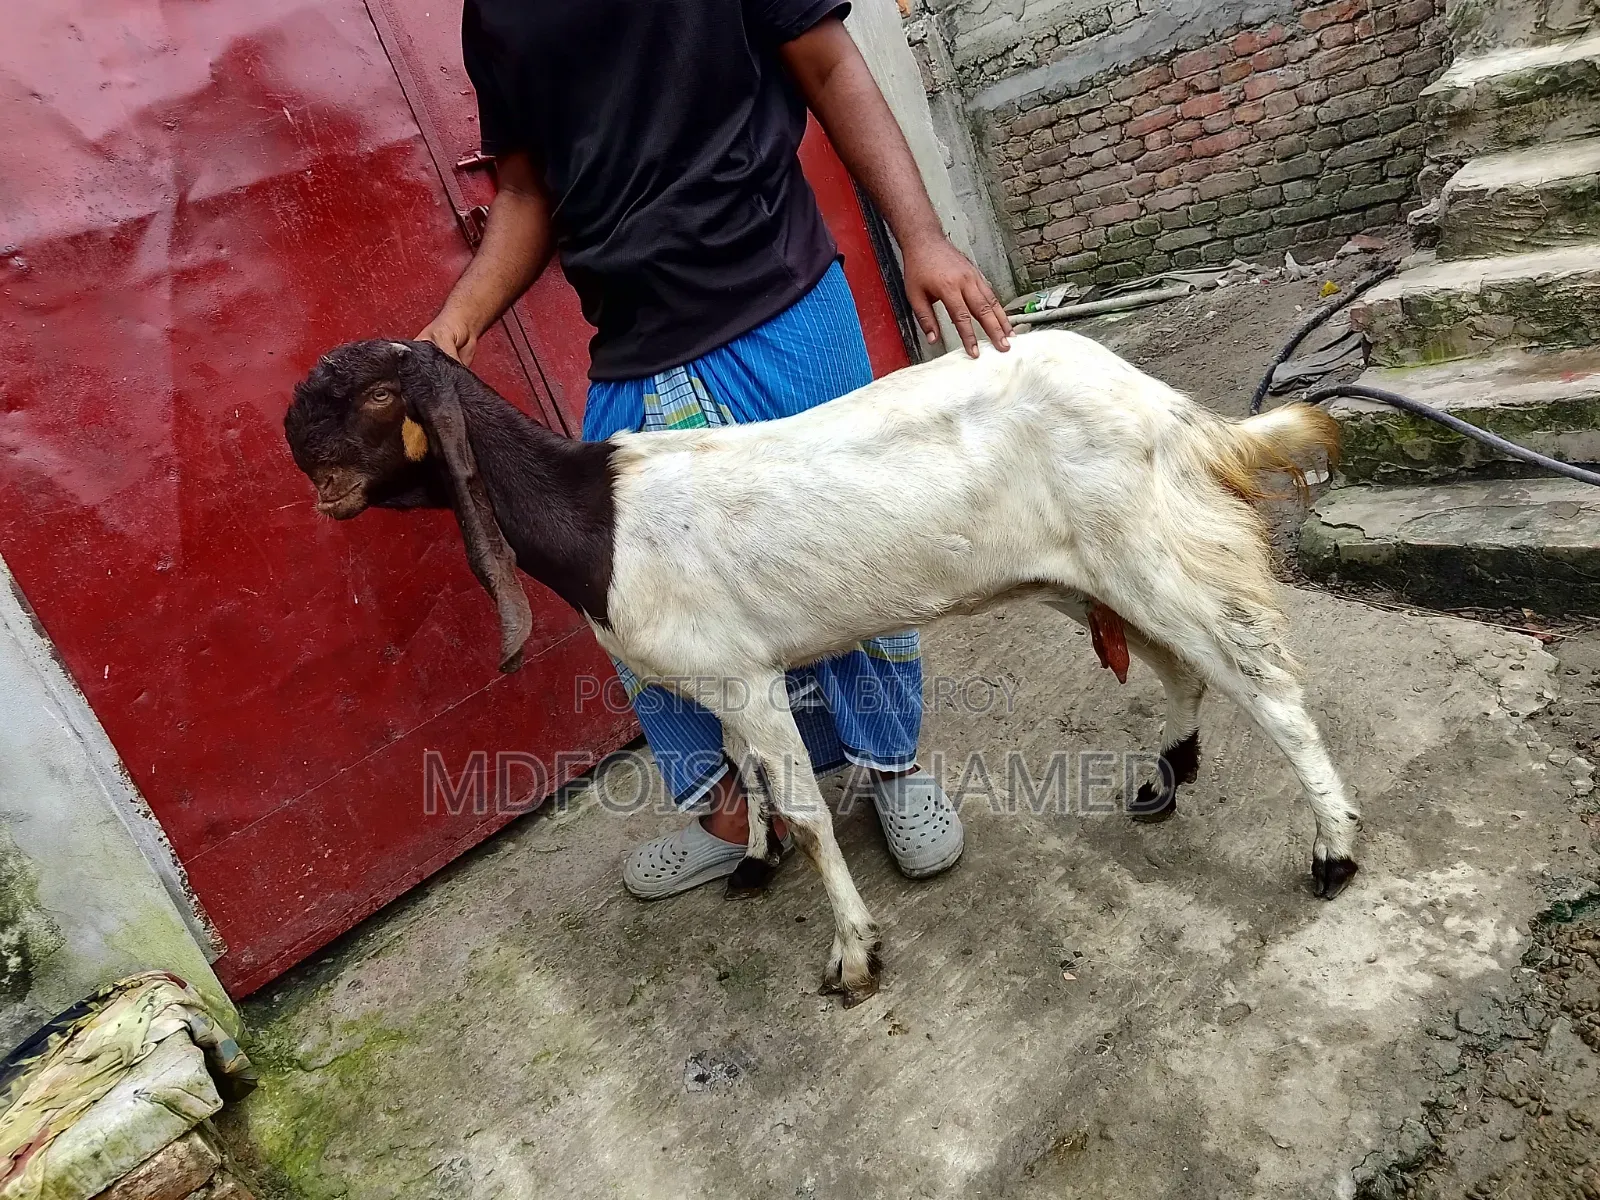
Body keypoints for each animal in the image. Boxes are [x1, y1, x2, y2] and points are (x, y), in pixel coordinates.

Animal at [284, 333, 1354, 1006]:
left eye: (364, 397)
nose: (294, 452)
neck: (598, 516)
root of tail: (1172, 412)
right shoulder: (715, 675)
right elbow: (746, 778)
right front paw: (751, 864)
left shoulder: (750, 679)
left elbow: (804, 812)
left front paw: (852, 956)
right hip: (1101, 566)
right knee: (1186, 667)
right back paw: (1167, 775)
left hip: (1148, 544)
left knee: (1265, 683)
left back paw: (1334, 852)